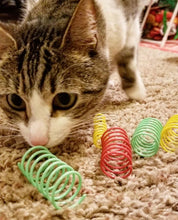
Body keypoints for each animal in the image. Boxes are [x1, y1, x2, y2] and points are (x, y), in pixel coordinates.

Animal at [0, 0, 147, 148]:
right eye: (15, 100)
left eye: (64, 99)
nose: (38, 141)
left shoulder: (131, 19)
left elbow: (128, 55)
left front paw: (136, 92)